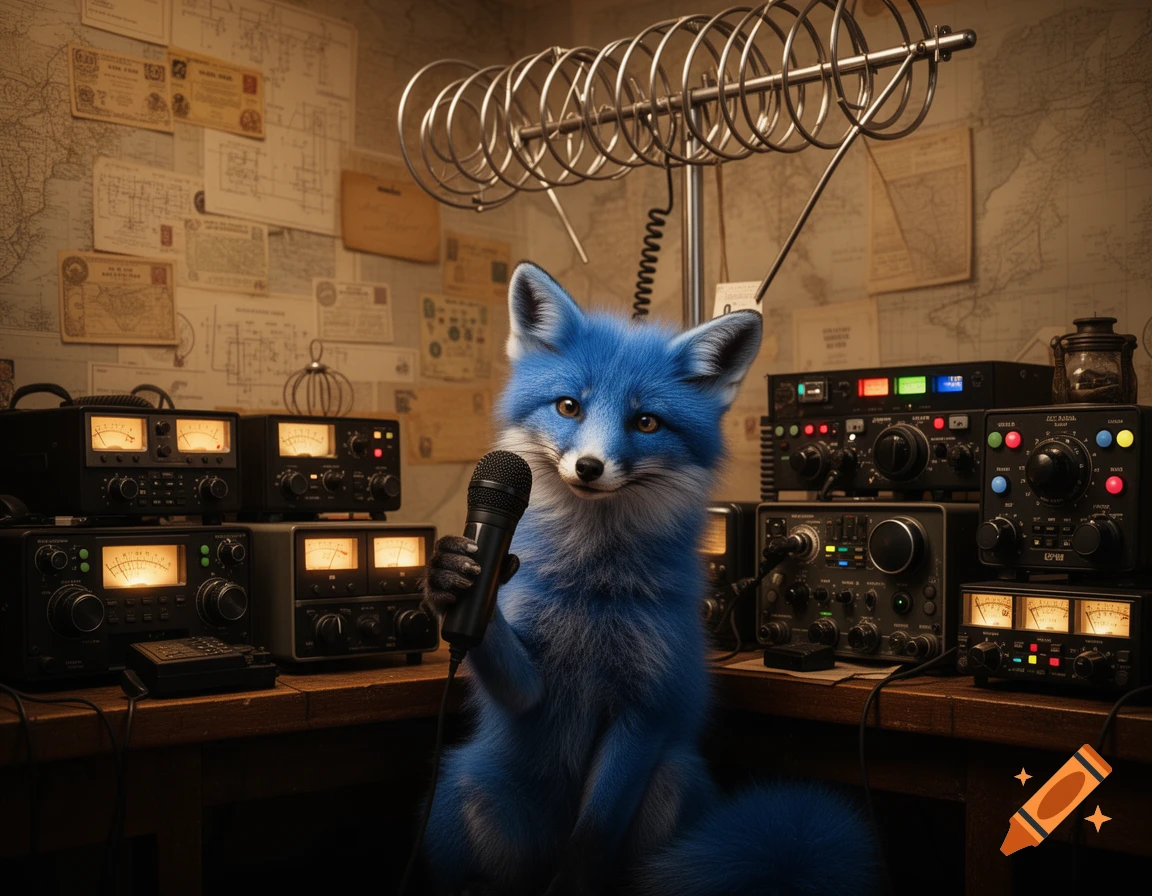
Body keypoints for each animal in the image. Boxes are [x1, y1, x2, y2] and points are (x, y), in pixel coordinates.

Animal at [419, 262, 878, 896]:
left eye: (645, 421)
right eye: (568, 407)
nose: (589, 467)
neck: (592, 588)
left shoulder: (645, 712)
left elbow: (589, 843)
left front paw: (572, 883)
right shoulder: (534, 690)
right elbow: (500, 654)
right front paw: (451, 575)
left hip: (669, 779)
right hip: (468, 792)